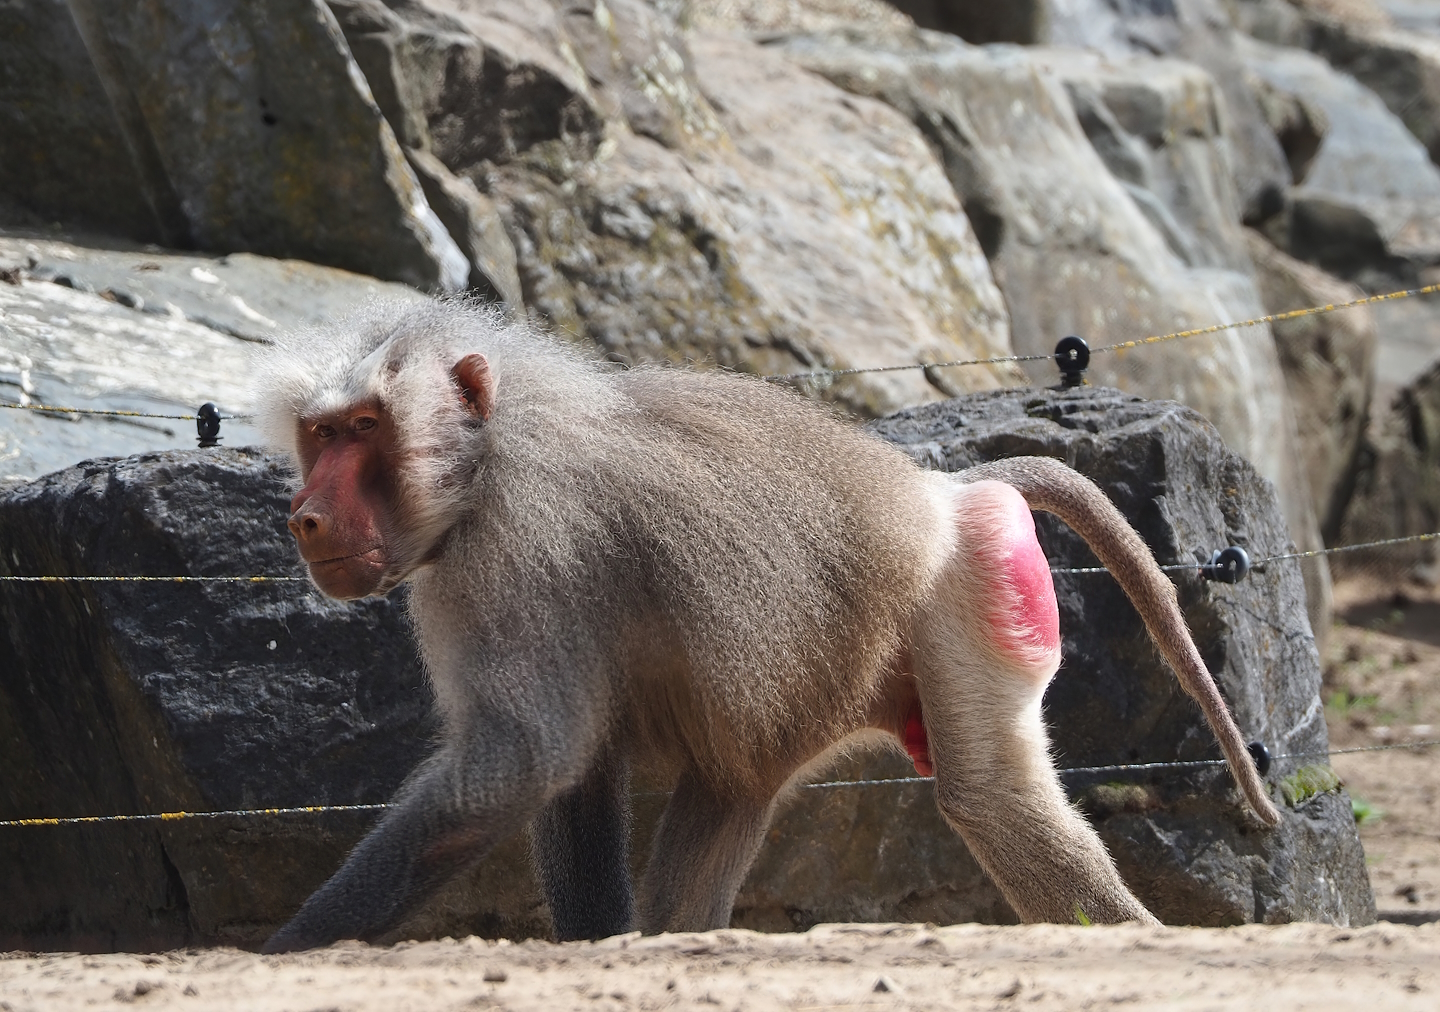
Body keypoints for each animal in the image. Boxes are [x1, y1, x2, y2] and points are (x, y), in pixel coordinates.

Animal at [254, 299, 1280, 953]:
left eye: (365, 430)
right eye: (322, 434)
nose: (304, 517)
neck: (495, 450)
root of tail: (942, 491)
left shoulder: (517, 558)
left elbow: (521, 759)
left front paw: (290, 943)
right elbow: (572, 773)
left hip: (969, 588)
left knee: (991, 801)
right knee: (738, 787)